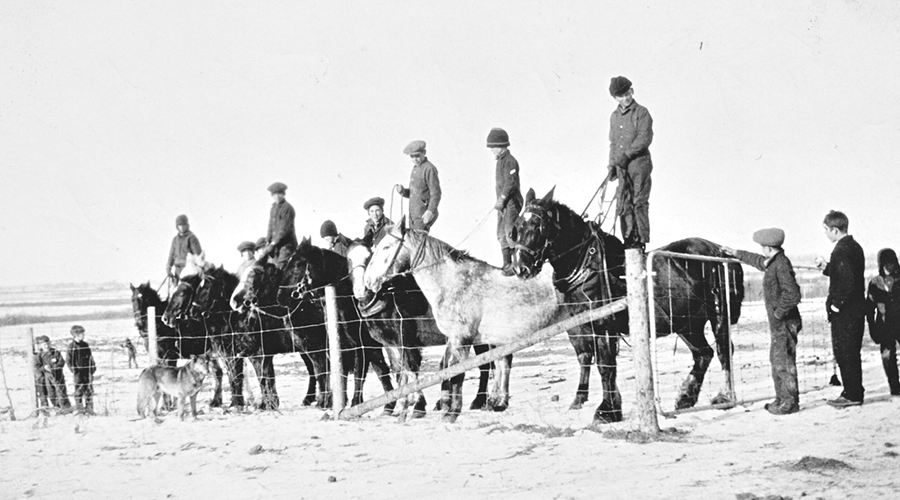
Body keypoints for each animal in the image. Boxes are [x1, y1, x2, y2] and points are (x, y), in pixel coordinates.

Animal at [163, 266, 318, 410]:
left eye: (183, 293)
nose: (166, 318)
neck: (236, 316)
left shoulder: (250, 354)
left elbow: (253, 378)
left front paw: (255, 404)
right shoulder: (237, 355)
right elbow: (245, 378)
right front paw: (255, 403)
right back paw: (308, 399)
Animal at [360, 223, 560, 422]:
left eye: (386, 247)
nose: (367, 281)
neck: (453, 282)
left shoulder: (451, 339)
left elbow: (450, 372)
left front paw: (443, 411)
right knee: (501, 361)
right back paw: (496, 402)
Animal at [510, 188, 740, 422]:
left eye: (539, 225)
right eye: (517, 227)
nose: (521, 267)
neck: (586, 265)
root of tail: (720, 250)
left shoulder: (603, 325)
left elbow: (605, 365)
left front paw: (606, 410)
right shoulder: (581, 327)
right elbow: (589, 358)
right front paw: (601, 403)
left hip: (718, 313)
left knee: (723, 350)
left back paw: (724, 396)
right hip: (686, 322)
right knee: (703, 354)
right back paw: (686, 397)